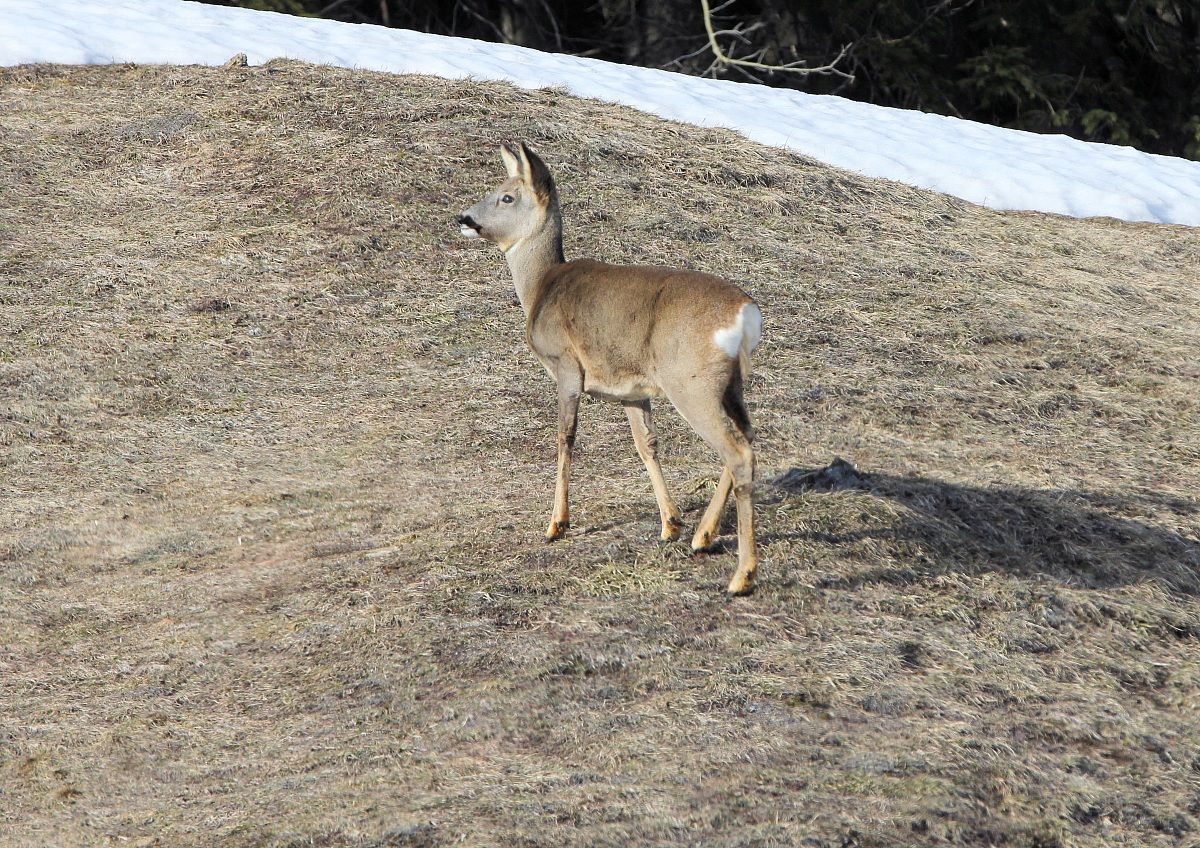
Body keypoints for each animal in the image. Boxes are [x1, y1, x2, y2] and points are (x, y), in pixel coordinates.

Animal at [456, 142, 763, 595]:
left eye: (507, 196)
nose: (464, 218)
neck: (539, 287)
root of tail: (745, 314)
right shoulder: (632, 391)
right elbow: (646, 445)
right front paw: (670, 523)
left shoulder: (567, 367)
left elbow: (565, 438)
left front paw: (556, 525)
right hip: (731, 385)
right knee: (748, 438)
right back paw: (702, 536)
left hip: (691, 384)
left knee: (738, 451)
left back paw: (742, 575)